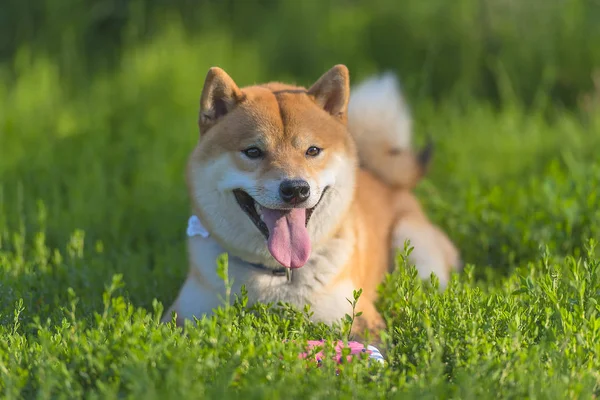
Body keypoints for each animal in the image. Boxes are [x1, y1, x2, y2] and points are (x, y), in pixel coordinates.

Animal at [161, 63, 460, 338]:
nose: (295, 189)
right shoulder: (181, 316)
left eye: (312, 150)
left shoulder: (359, 320)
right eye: (253, 151)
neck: (277, 275)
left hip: (414, 246)